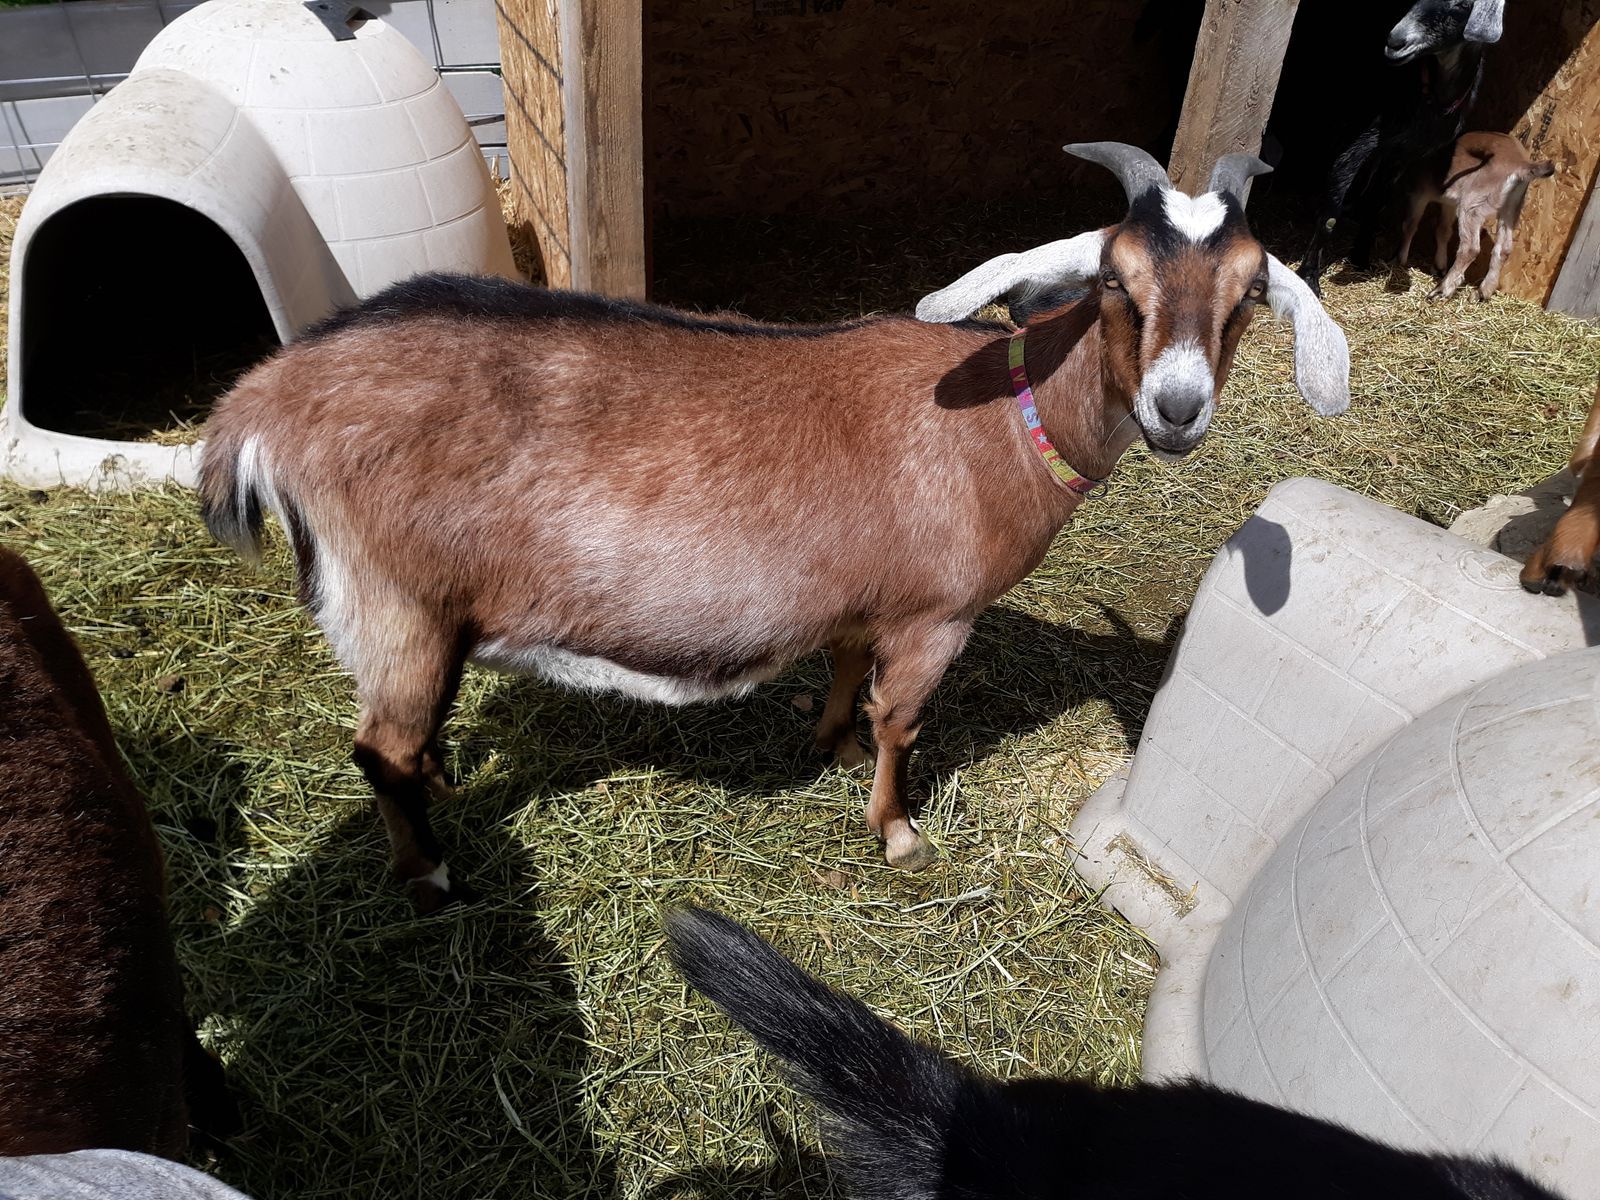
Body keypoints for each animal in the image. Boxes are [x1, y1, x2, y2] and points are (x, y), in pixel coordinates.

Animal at [198, 142, 1349, 912]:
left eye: (1250, 293)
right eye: (1116, 278)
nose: (1177, 408)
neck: (1008, 421)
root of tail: (266, 400)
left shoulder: (864, 598)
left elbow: (845, 671)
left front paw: (827, 741)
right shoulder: (939, 617)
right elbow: (903, 721)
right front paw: (896, 833)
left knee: (404, 735)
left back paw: (442, 786)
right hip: (398, 599)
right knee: (375, 747)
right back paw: (428, 867)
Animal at [1297, 0, 1506, 296]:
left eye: (1462, 6)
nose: (1395, 41)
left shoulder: (1400, 154)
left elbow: (1376, 203)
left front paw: (1360, 258)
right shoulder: (1360, 143)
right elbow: (1330, 216)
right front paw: (1309, 277)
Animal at [1396, 131, 1555, 302]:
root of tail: (1521, 164)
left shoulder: (1419, 193)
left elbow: (1410, 225)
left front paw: (1400, 260)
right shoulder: (1449, 203)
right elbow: (1443, 230)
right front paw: (1439, 266)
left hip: (1472, 206)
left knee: (1470, 248)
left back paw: (1441, 291)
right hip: (1511, 209)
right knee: (1504, 249)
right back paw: (1482, 293)